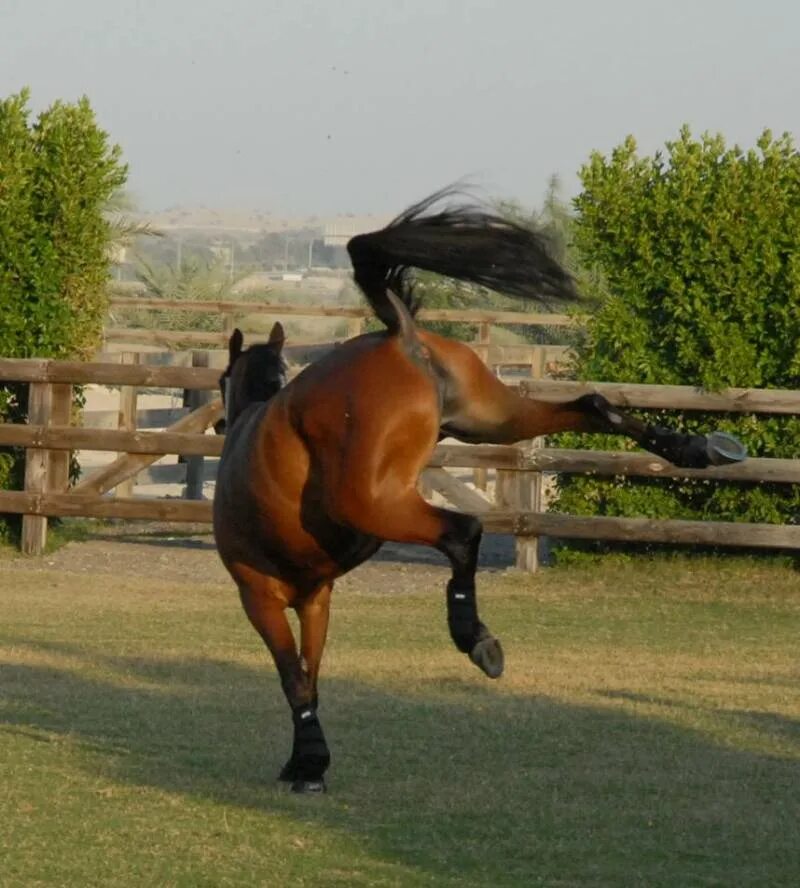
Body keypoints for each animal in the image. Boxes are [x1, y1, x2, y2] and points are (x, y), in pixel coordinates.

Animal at [211, 187, 744, 792]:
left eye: (221, 381)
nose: (217, 423)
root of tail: (401, 336)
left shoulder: (260, 596)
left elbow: (295, 678)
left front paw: (308, 764)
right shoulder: (316, 599)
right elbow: (311, 673)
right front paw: (307, 758)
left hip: (377, 503)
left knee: (462, 531)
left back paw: (476, 639)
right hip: (495, 419)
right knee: (593, 405)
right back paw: (696, 448)